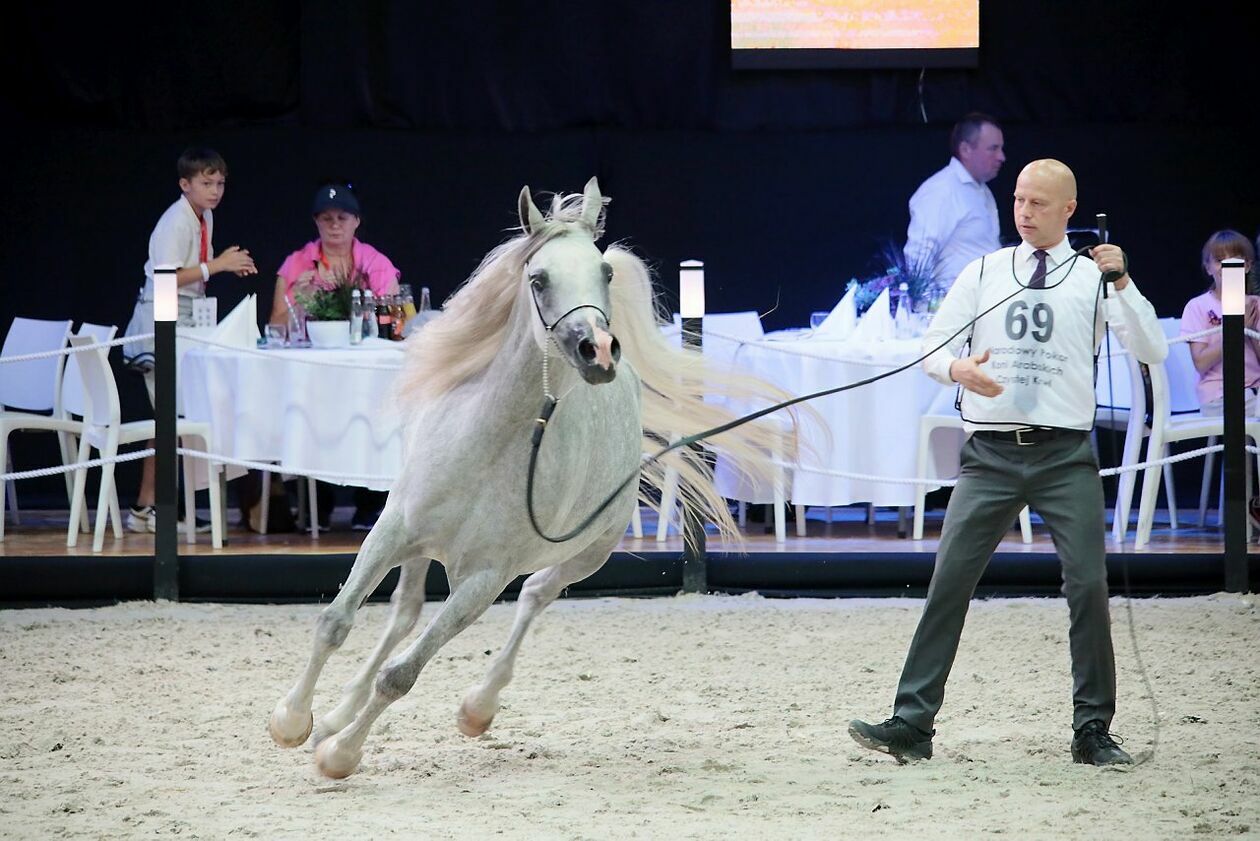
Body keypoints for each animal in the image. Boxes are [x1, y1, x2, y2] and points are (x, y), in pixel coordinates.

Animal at [269, 181, 791, 781]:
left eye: (603, 273)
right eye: (538, 278)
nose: (599, 351)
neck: (490, 444)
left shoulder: (484, 581)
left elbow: (402, 674)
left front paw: (340, 754)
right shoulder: (393, 531)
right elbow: (336, 622)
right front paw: (294, 721)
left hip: (587, 552)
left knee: (536, 594)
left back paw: (475, 707)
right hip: (423, 547)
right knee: (404, 612)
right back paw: (336, 714)